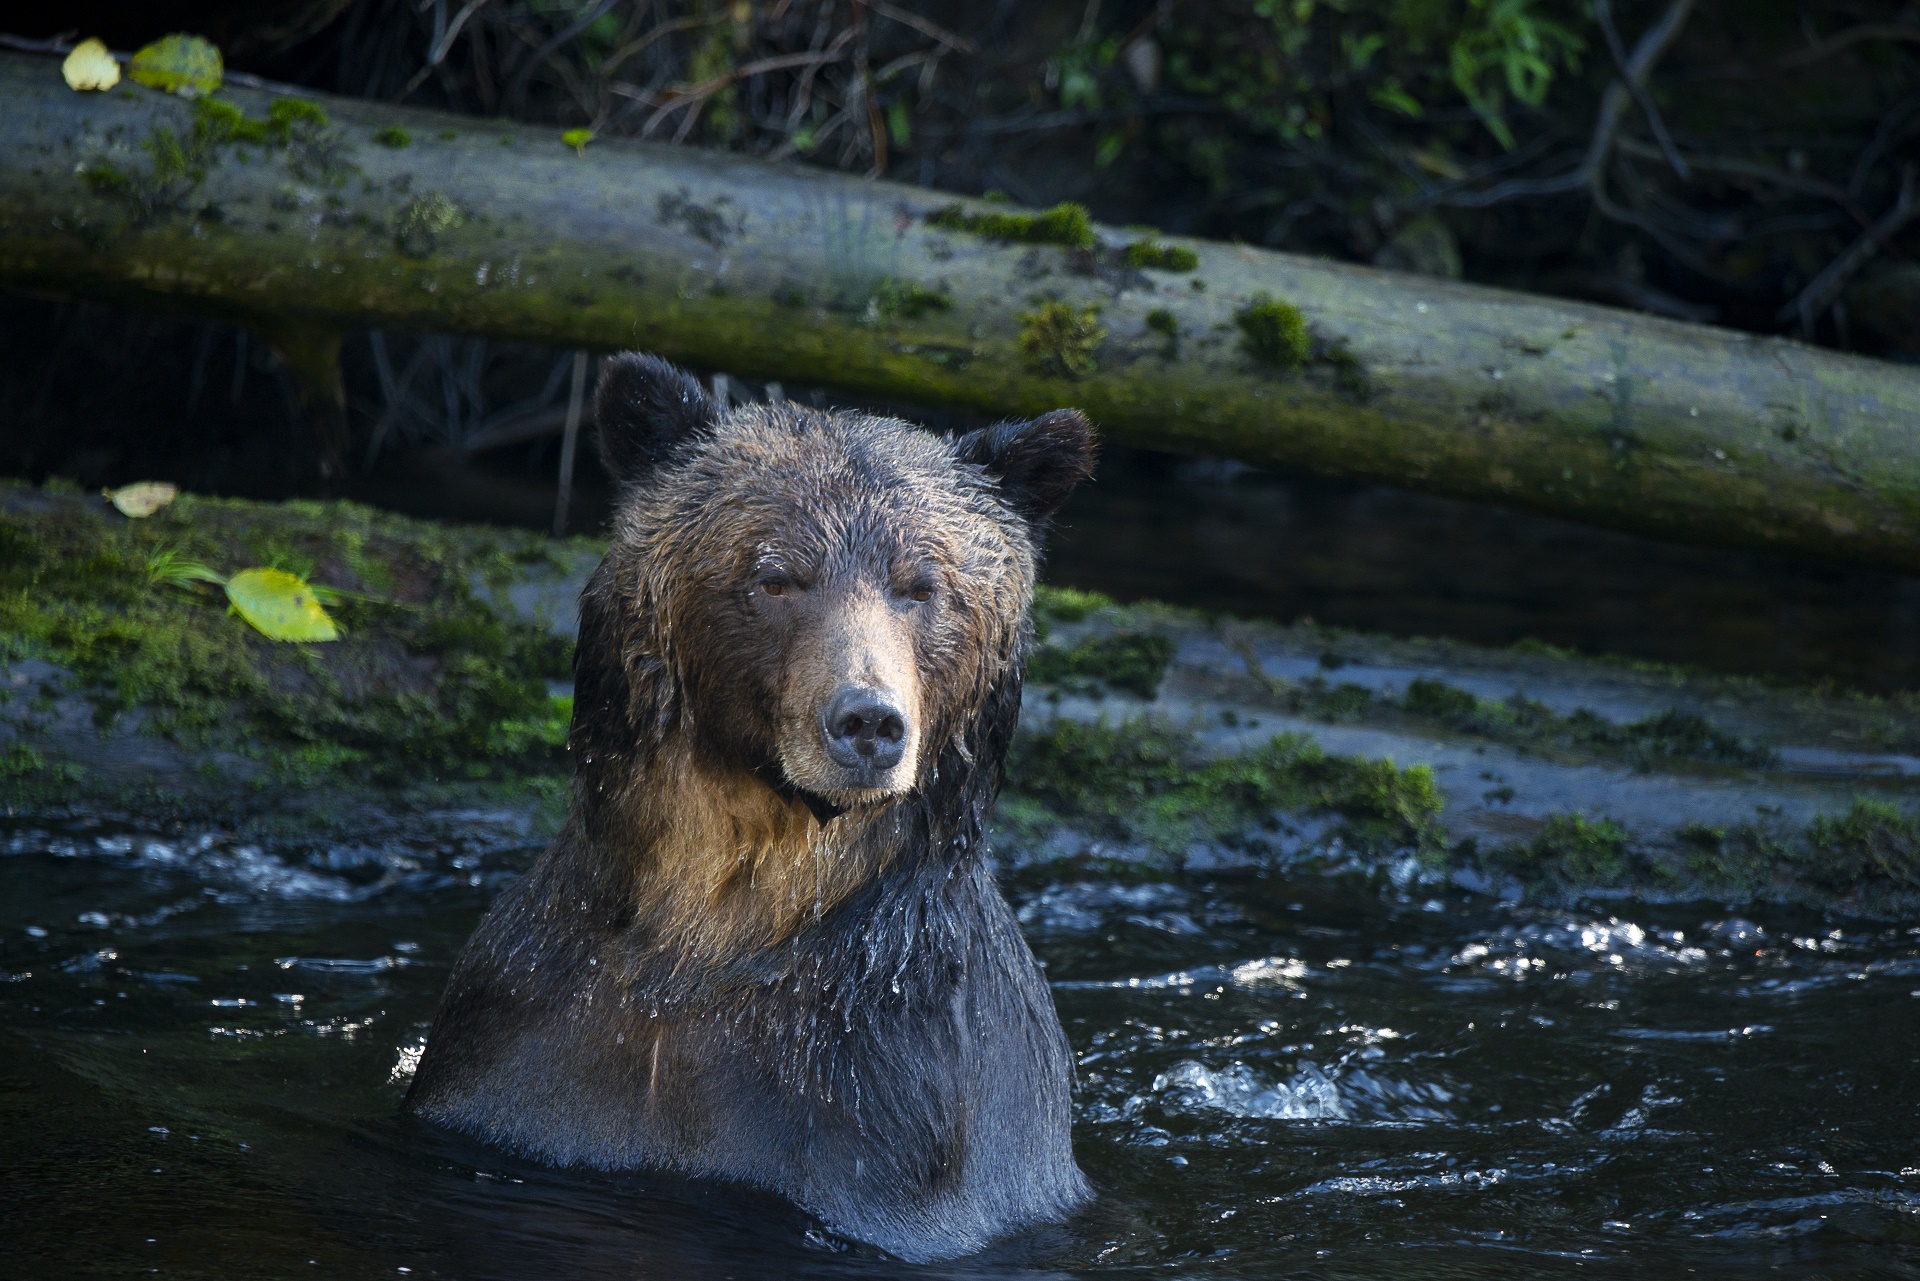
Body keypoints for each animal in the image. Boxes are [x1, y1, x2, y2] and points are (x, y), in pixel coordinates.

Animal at [405, 351, 1098, 1259]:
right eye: (776, 576)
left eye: (922, 585)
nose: (868, 720)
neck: (715, 920)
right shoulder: (524, 1040)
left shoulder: (888, 1110)